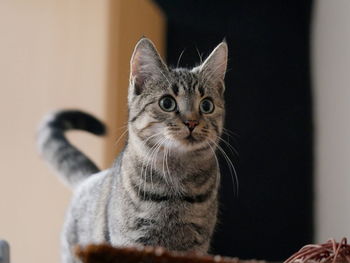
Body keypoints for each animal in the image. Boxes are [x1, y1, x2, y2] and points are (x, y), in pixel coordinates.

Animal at [37, 37, 228, 263]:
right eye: (167, 103)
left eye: (207, 105)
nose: (192, 122)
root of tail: (90, 178)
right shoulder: (133, 242)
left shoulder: (195, 246)